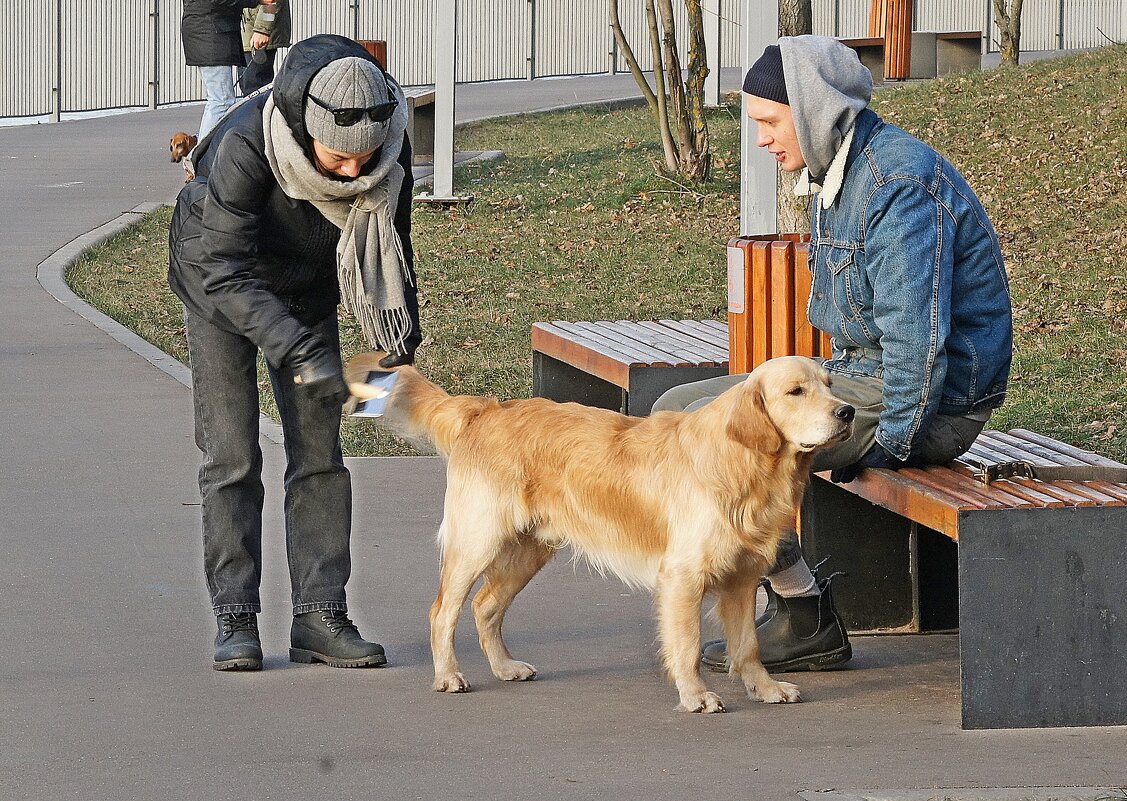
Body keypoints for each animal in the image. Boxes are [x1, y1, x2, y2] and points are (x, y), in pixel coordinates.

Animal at [344, 353, 852, 712]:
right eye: (795, 391)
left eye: (829, 386)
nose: (846, 412)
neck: (743, 463)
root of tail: (485, 409)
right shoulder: (683, 576)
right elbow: (686, 646)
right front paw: (696, 696)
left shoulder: (742, 579)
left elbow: (747, 646)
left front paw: (765, 688)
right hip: (477, 540)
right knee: (443, 610)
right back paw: (449, 675)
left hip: (530, 550)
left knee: (486, 605)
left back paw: (505, 666)